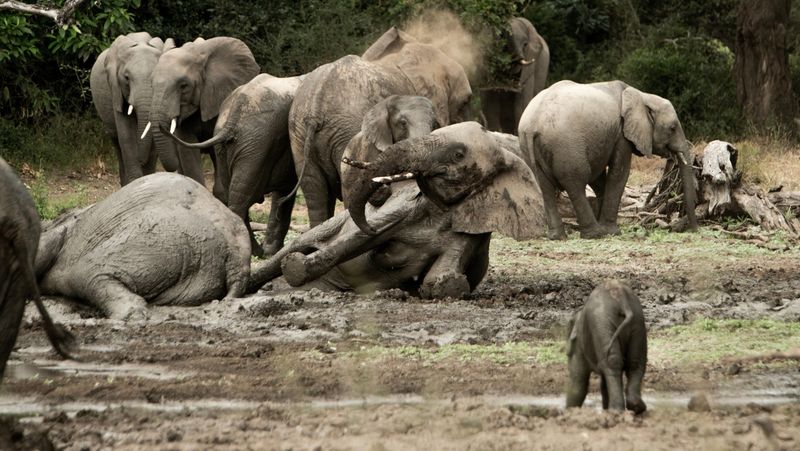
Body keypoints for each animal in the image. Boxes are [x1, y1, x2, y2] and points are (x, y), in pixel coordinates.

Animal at [90, 32, 175, 185]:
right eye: (126, 78)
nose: (141, 160)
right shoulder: (115, 90)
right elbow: (127, 136)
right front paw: (136, 181)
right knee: (116, 142)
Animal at [164, 73, 303, 257]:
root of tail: (235, 114)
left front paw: (272, 252)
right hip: (257, 143)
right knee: (242, 197)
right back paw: (252, 251)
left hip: (234, 143)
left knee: (231, 192)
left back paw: (257, 251)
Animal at [248, 122, 546, 299]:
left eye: (458, 154)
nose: (378, 198)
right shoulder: (405, 208)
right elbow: (358, 240)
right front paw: (297, 266)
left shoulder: (472, 229)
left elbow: (443, 283)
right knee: (297, 245)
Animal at [519, 80, 698, 240]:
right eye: (672, 128)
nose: (693, 230)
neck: (641, 95)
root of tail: (532, 125)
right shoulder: (621, 135)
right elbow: (618, 174)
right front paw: (613, 232)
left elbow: (599, 179)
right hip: (566, 146)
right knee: (576, 183)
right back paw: (595, 234)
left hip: (530, 148)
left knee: (545, 187)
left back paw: (557, 237)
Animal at [566, 279, 647, 414]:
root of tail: (621, 297)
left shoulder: (579, 346)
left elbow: (578, 381)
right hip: (637, 321)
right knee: (634, 363)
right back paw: (636, 407)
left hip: (602, 322)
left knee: (612, 363)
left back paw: (615, 411)